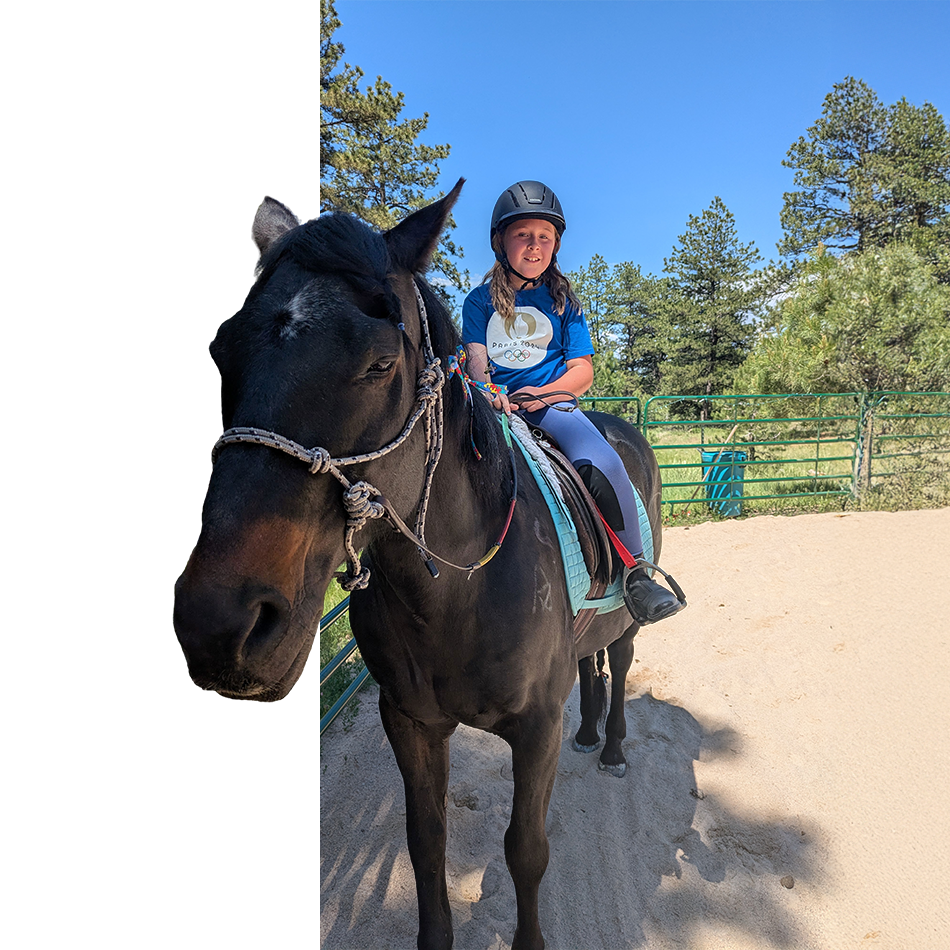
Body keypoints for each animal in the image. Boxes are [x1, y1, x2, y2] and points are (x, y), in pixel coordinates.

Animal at [173, 179, 671, 950]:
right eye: (222, 352)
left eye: (381, 363)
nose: (219, 625)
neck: (456, 588)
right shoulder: (408, 722)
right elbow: (426, 844)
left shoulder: (535, 729)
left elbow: (526, 851)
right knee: (590, 664)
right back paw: (589, 731)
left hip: (627, 620)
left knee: (617, 662)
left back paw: (612, 745)